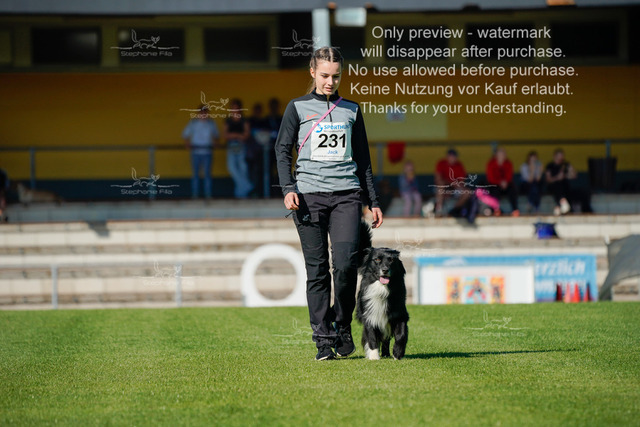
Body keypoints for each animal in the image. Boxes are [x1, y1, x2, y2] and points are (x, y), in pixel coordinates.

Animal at [356, 221, 409, 360]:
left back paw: (386, 353)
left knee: (386, 338)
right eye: (377, 260)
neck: (382, 288)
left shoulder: (399, 314)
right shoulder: (369, 315)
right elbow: (371, 337)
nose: (385, 270)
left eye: (391, 260)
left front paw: (397, 353)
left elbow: (401, 335)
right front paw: (374, 356)